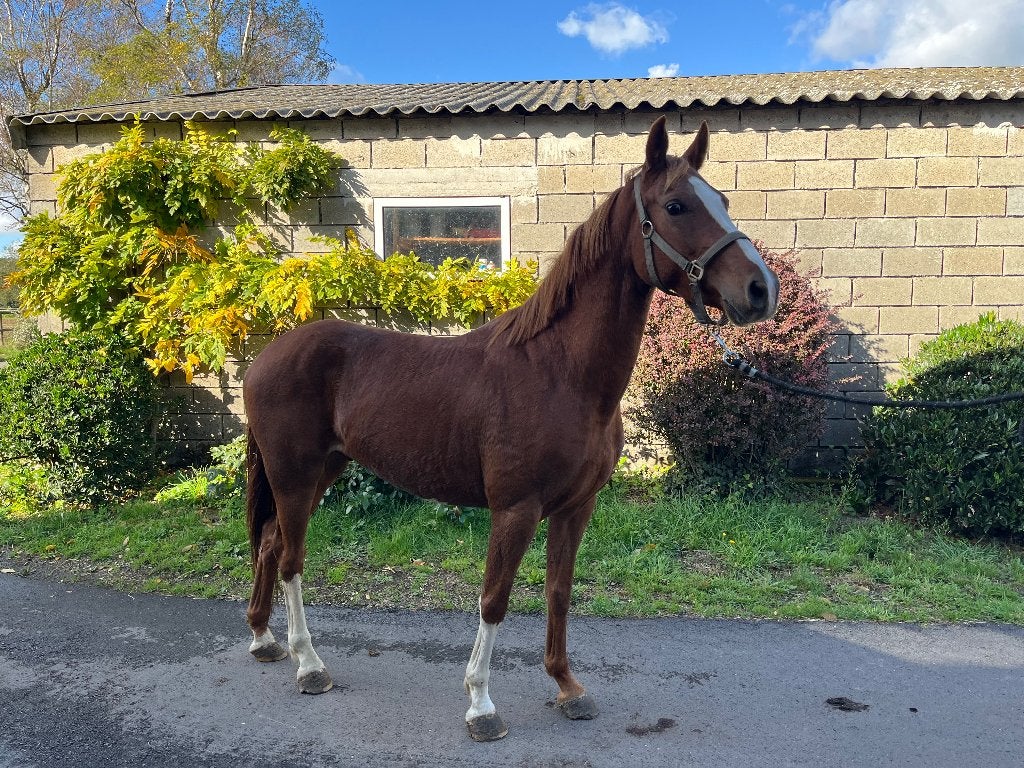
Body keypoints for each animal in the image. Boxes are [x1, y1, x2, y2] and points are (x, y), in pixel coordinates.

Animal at [242, 116, 780, 742]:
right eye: (675, 205)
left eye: (722, 201)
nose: (761, 289)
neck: (559, 372)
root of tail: (264, 357)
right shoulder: (516, 509)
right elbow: (494, 600)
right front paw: (481, 705)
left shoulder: (576, 508)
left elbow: (558, 593)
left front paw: (568, 687)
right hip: (295, 477)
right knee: (291, 559)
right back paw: (309, 665)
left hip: (320, 471)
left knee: (270, 542)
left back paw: (264, 639)